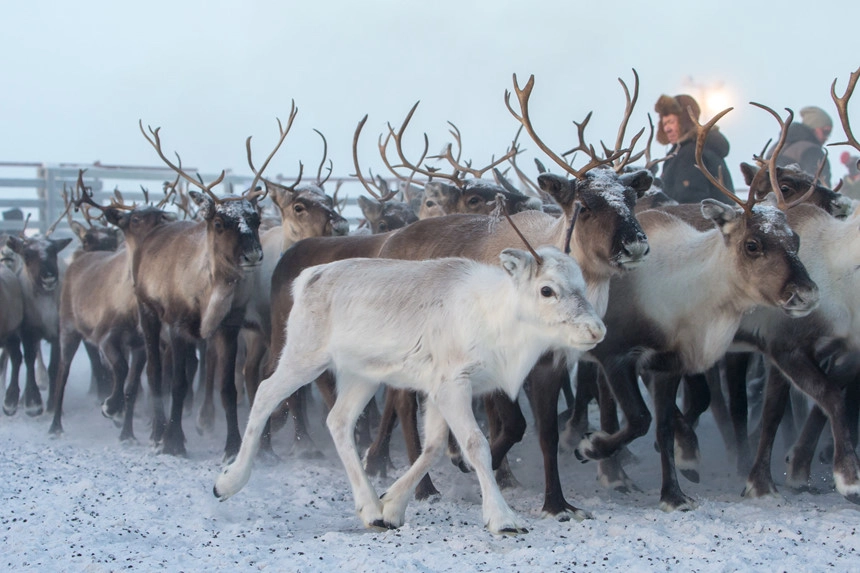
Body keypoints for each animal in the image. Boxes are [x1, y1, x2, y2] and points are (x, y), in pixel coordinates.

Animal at [215, 245, 604, 532]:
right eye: (547, 289)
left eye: (582, 284)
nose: (597, 330)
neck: (499, 321)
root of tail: (309, 278)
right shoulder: (453, 385)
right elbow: (475, 445)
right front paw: (503, 518)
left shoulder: (437, 392)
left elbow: (433, 446)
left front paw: (391, 506)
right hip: (304, 356)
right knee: (265, 393)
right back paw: (228, 481)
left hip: (363, 376)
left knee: (338, 421)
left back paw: (370, 509)